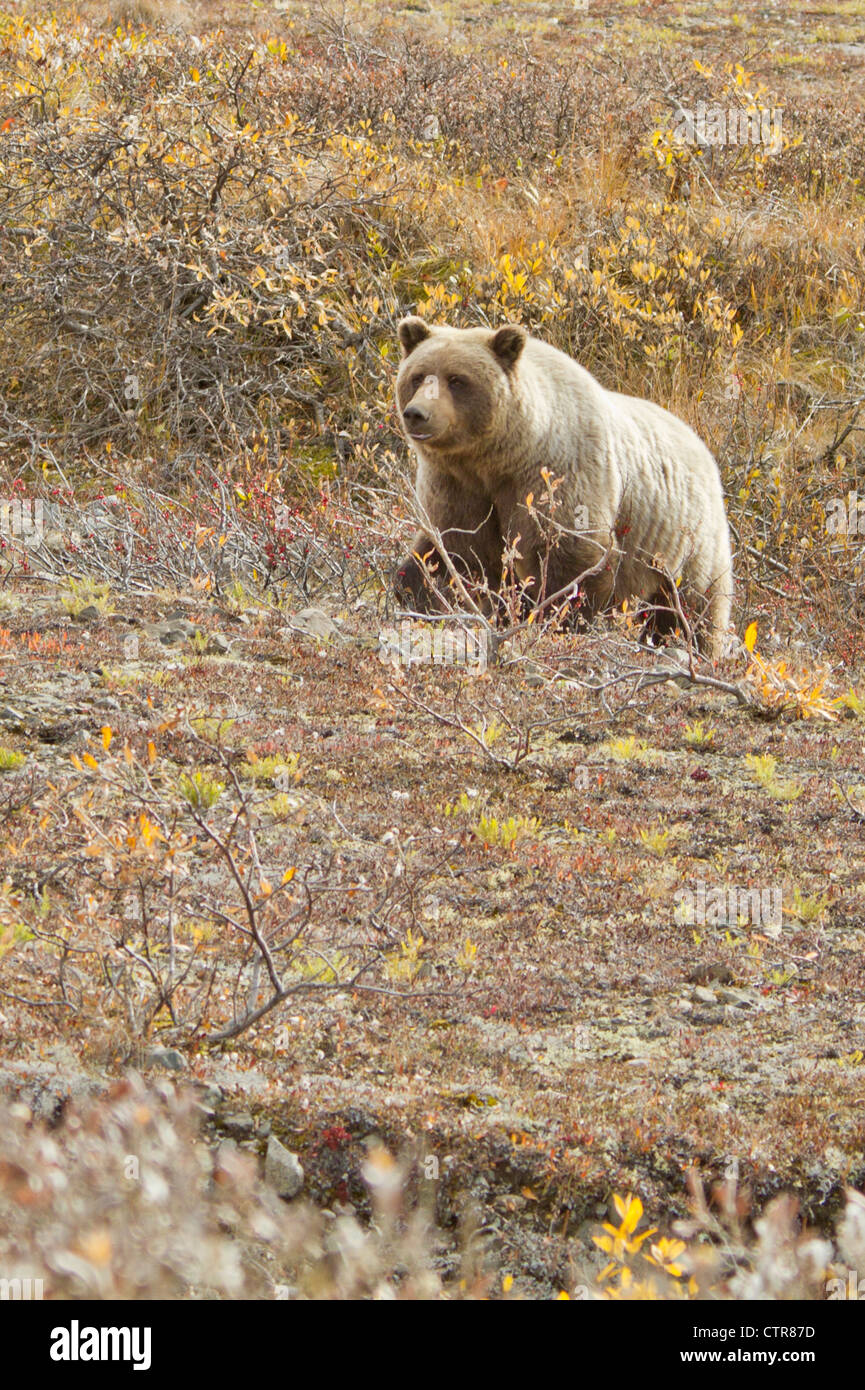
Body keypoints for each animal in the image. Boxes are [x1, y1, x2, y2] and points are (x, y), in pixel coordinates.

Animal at [397, 318, 734, 658]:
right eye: (417, 376)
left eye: (456, 379)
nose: (416, 413)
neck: (499, 458)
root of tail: (702, 446)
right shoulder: (458, 486)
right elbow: (454, 551)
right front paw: (415, 592)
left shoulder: (559, 474)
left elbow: (573, 559)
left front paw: (557, 621)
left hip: (685, 541)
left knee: (693, 604)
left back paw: (694, 646)